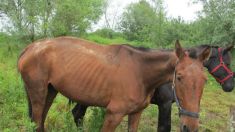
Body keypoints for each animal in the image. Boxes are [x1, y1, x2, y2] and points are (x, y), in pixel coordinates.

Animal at [17, 36, 211, 131]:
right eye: (179, 77)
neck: (140, 71)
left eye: (205, 80)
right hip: (38, 94)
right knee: (37, 120)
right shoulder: (114, 114)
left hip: (50, 92)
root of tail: (29, 48)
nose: (191, 127)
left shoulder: (136, 113)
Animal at [68, 44, 233, 131]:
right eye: (228, 62)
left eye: (205, 80)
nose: (230, 86)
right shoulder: (165, 105)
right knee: (78, 113)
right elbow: (164, 127)